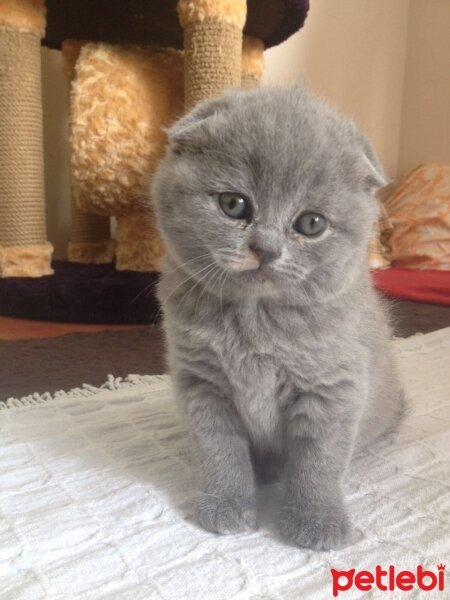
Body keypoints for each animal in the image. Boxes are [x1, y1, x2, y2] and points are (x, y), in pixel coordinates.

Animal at [151, 86, 404, 552]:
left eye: (311, 223)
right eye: (233, 204)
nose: (265, 248)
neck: (255, 322)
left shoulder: (332, 388)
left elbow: (318, 461)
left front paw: (317, 520)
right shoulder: (201, 382)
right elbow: (219, 449)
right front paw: (226, 504)